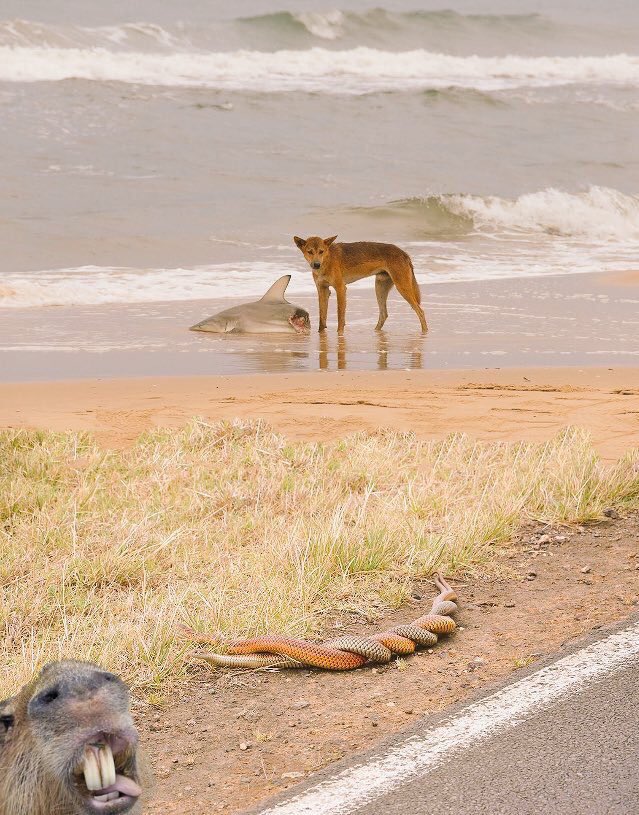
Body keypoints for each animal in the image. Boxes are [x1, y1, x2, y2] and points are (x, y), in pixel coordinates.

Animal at [296, 236, 430, 334]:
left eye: (321, 251)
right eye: (309, 252)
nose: (316, 264)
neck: (327, 261)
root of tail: (404, 253)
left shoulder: (340, 288)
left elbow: (340, 317)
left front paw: (340, 334)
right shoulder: (322, 290)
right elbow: (322, 317)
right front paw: (321, 333)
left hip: (402, 287)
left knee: (420, 311)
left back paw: (425, 333)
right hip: (380, 287)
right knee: (384, 314)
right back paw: (375, 331)